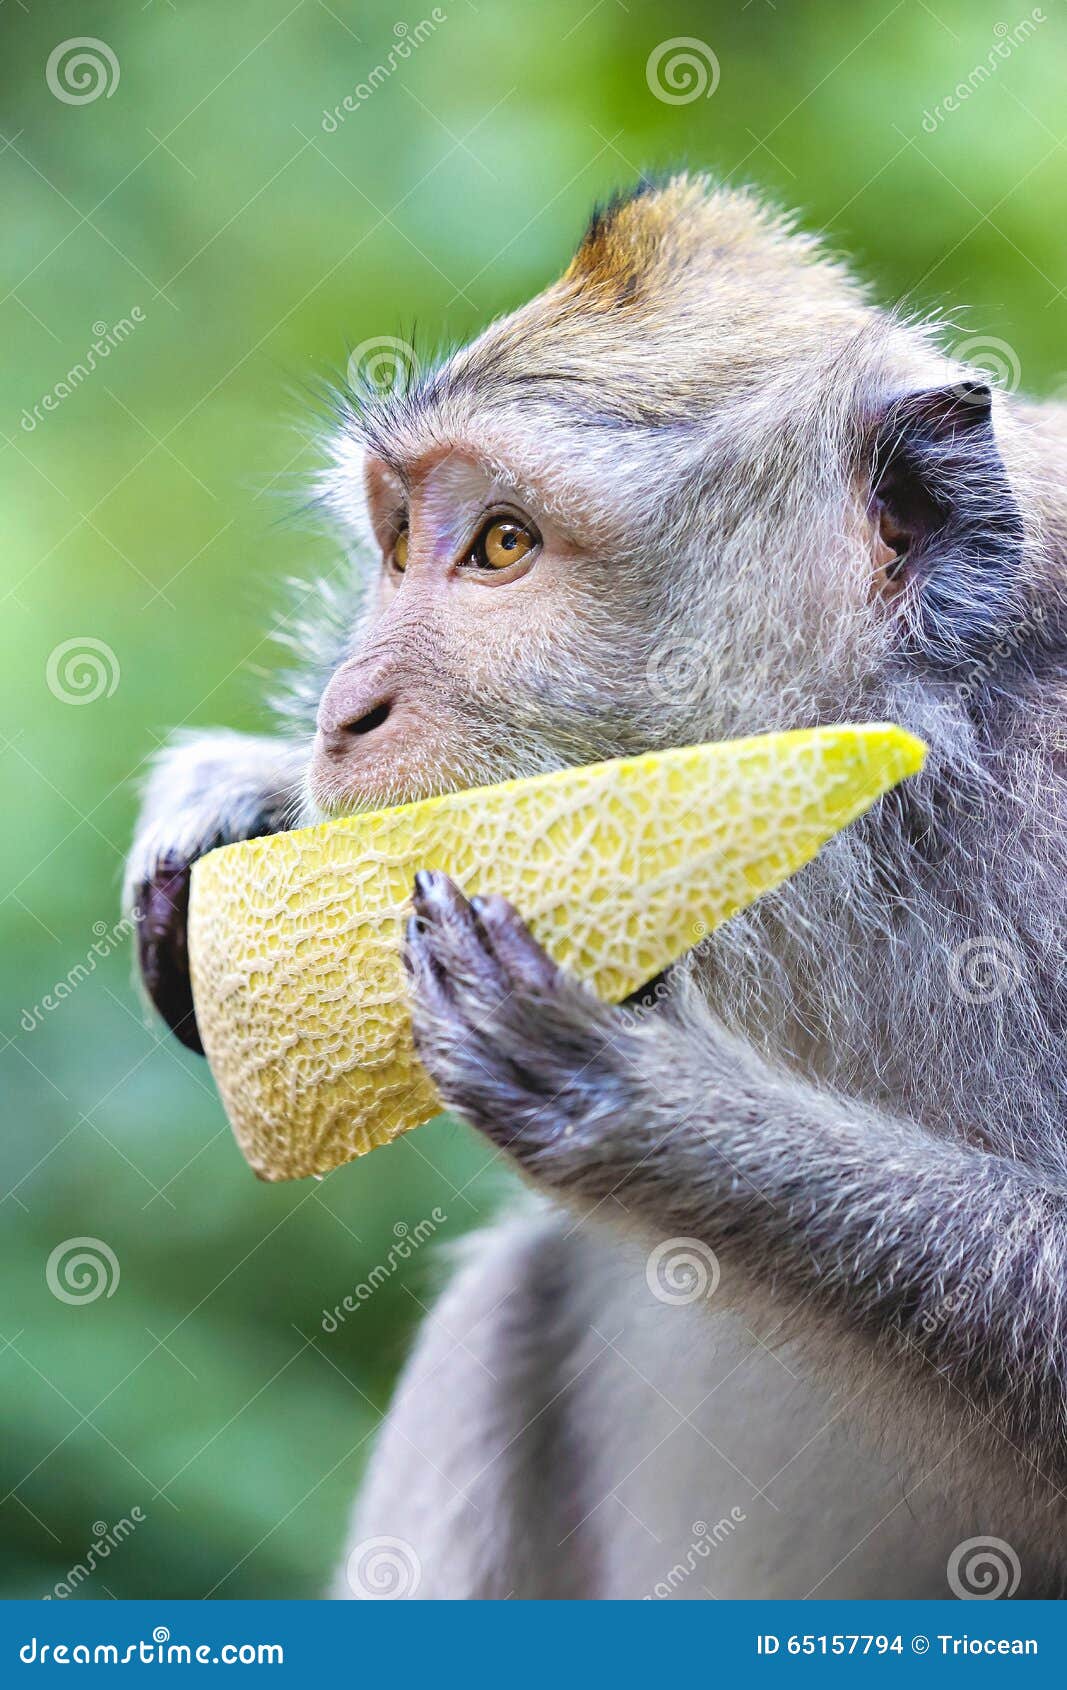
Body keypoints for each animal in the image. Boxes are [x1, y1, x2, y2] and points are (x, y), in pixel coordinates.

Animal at [126, 174, 1067, 1600]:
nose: (343, 712)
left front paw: (640, 1106)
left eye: (502, 544)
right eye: (396, 540)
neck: (898, 797)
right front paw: (237, 794)